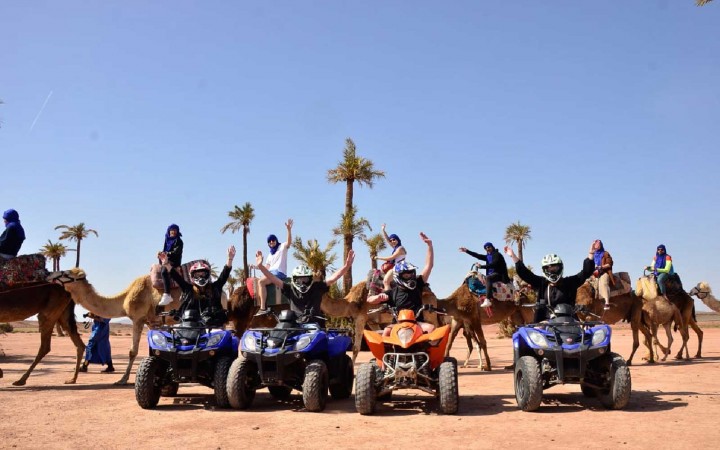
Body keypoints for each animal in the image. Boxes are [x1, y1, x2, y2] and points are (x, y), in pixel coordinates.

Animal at [48, 268, 181, 384]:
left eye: (66, 273)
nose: (49, 274)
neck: (124, 299)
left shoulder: (138, 319)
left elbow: (133, 351)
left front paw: (123, 379)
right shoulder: (152, 323)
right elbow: (156, 350)